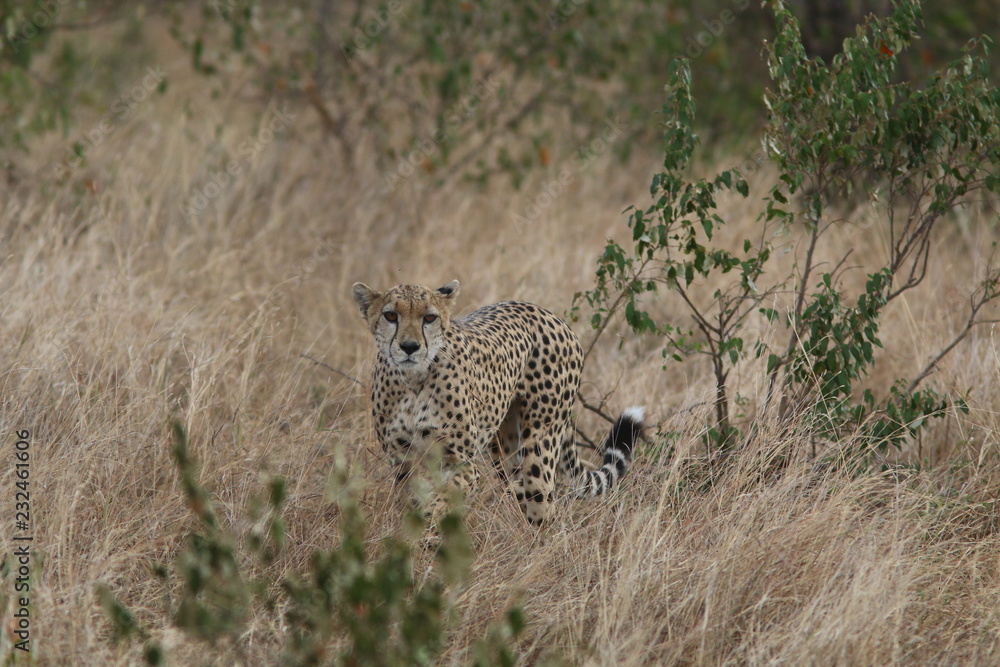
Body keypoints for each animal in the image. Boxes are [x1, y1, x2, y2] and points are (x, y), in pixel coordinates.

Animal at [352, 279, 644, 528]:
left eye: (429, 318)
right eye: (391, 316)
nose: (409, 347)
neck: (413, 381)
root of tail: (547, 313)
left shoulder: (461, 464)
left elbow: (439, 501)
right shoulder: (403, 462)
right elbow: (412, 505)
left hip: (539, 450)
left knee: (545, 508)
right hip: (506, 453)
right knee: (521, 491)